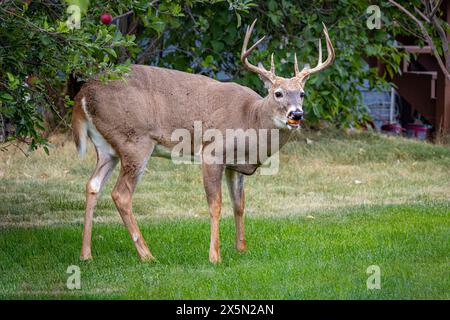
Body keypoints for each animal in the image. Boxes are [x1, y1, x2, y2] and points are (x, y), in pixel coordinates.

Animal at [72, 21, 332, 264]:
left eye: (302, 94)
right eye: (277, 93)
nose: (296, 114)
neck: (251, 119)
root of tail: (82, 94)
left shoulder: (234, 165)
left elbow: (239, 204)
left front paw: (242, 249)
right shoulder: (212, 153)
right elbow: (215, 204)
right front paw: (215, 256)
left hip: (108, 147)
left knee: (93, 185)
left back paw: (86, 254)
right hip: (135, 140)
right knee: (121, 194)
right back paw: (147, 255)